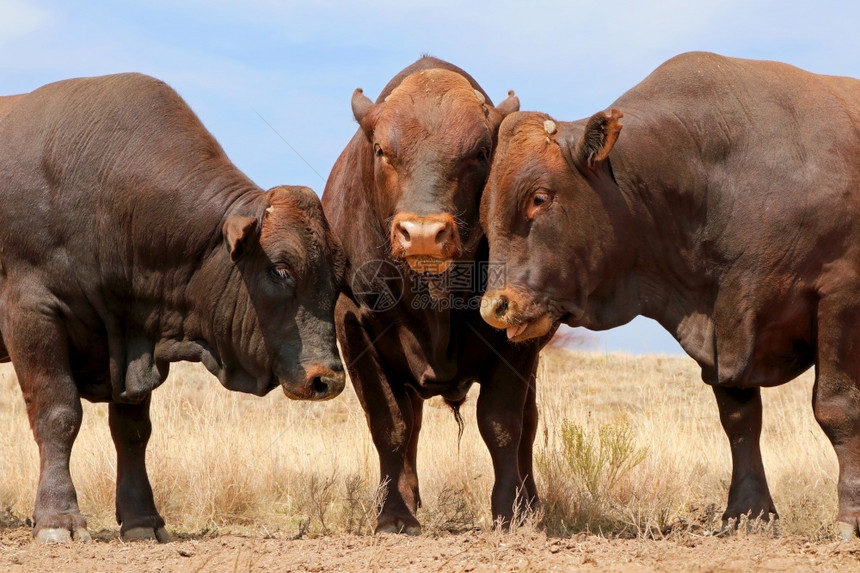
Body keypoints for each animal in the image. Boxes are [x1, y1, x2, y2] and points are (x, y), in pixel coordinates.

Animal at [0, 73, 342, 544]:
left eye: (338, 274)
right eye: (280, 269)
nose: (327, 378)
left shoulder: (133, 337)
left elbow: (132, 432)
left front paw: (142, 518)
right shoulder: (32, 314)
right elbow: (59, 415)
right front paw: (58, 518)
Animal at [322, 58, 552, 532]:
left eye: (480, 153)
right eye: (381, 150)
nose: (424, 233)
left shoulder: (515, 332)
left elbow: (502, 423)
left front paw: (508, 511)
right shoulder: (352, 323)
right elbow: (389, 425)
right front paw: (394, 514)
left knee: (527, 422)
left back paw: (530, 504)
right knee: (410, 423)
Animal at [480, 51, 860, 540]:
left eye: (540, 197)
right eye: (486, 205)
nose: (496, 306)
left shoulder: (838, 295)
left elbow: (836, 408)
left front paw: (849, 514)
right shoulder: (723, 323)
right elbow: (740, 419)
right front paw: (748, 511)